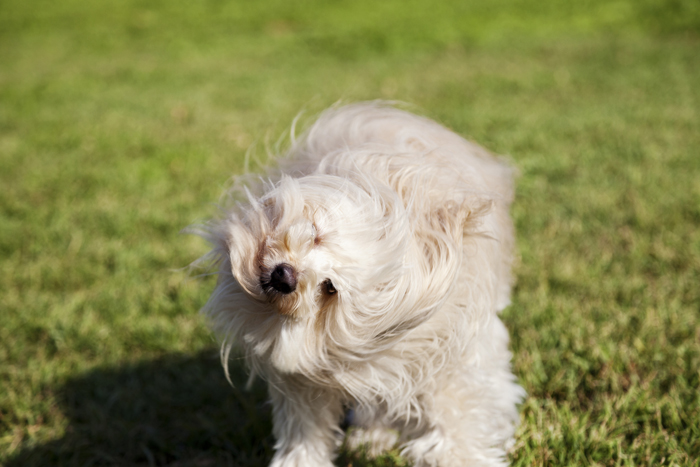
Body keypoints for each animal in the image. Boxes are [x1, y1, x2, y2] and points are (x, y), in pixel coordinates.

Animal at [200, 103, 524, 467]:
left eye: (330, 288)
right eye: (315, 233)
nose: (285, 277)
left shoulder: (451, 355)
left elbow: (461, 418)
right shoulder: (308, 379)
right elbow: (305, 430)